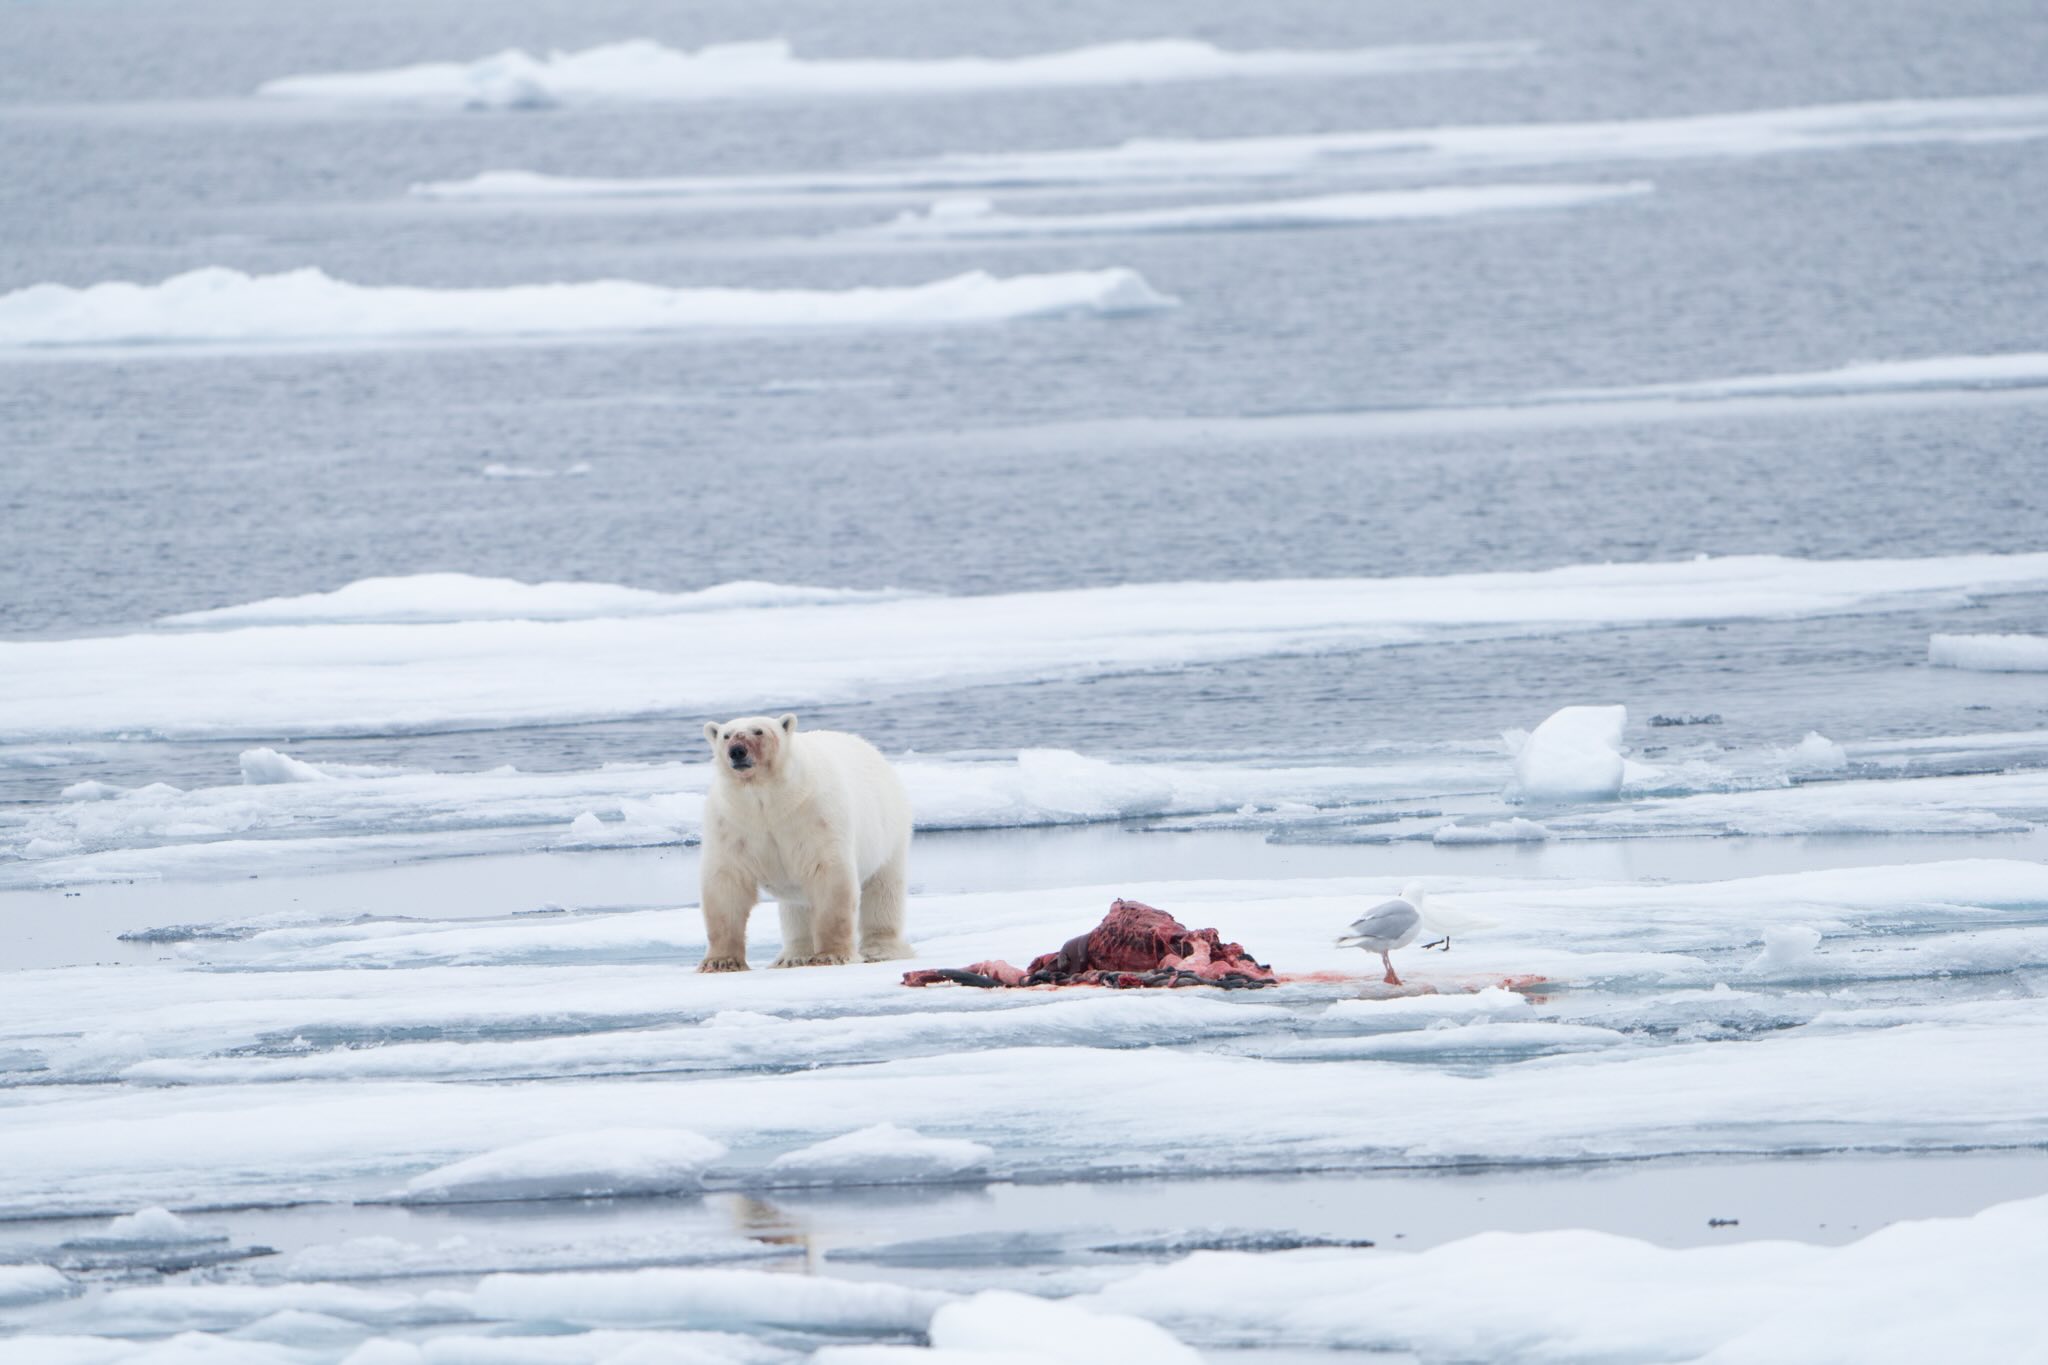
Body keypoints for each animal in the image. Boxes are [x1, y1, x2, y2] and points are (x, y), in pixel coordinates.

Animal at [697, 713, 912, 972]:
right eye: (726, 735)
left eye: (759, 731)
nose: (737, 751)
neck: (768, 800)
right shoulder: (732, 824)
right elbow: (727, 882)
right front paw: (721, 961)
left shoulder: (815, 815)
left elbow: (828, 875)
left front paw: (832, 955)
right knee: (795, 907)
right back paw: (793, 957)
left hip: (889, 832)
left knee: (883, 890)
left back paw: (881, 950)